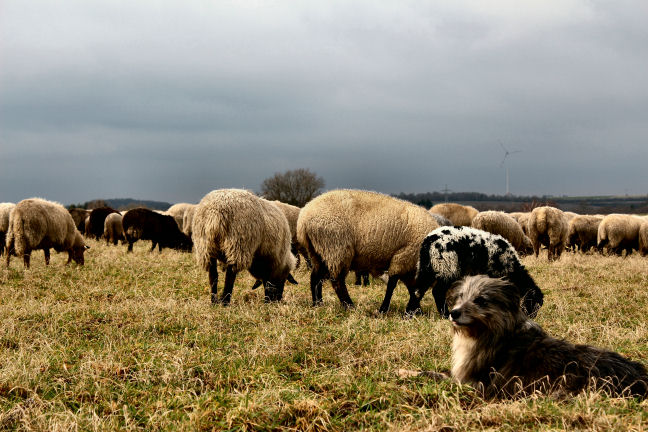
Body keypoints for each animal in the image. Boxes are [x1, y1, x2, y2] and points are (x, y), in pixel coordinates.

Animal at [294, 191, 438, 312]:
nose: (442, 313)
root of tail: (303, 219)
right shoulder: (403, 258)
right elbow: (395, 285)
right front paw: (384, 310)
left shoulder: (408, 265)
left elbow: (413, 289)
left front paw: (414, 309)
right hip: (336, 250)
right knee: (337, 282)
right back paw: (349, 306)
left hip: (318, 253)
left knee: (315, 278)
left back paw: (318, 304)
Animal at [400, 276, 648, 398]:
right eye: (460, 296)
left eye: (480, 300)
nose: (453, 313)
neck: (494, 332)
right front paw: (406, 371)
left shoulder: (472, 384)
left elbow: (433, 375)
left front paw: (405, 373)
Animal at [412, 226, 544, 318]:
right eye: (534, 304)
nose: (531, 317)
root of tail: (429, 242)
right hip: (446, 268)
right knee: (437, 292)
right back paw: (445, 314)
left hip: (427, 268)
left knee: (417, 291)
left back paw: (411, 313)